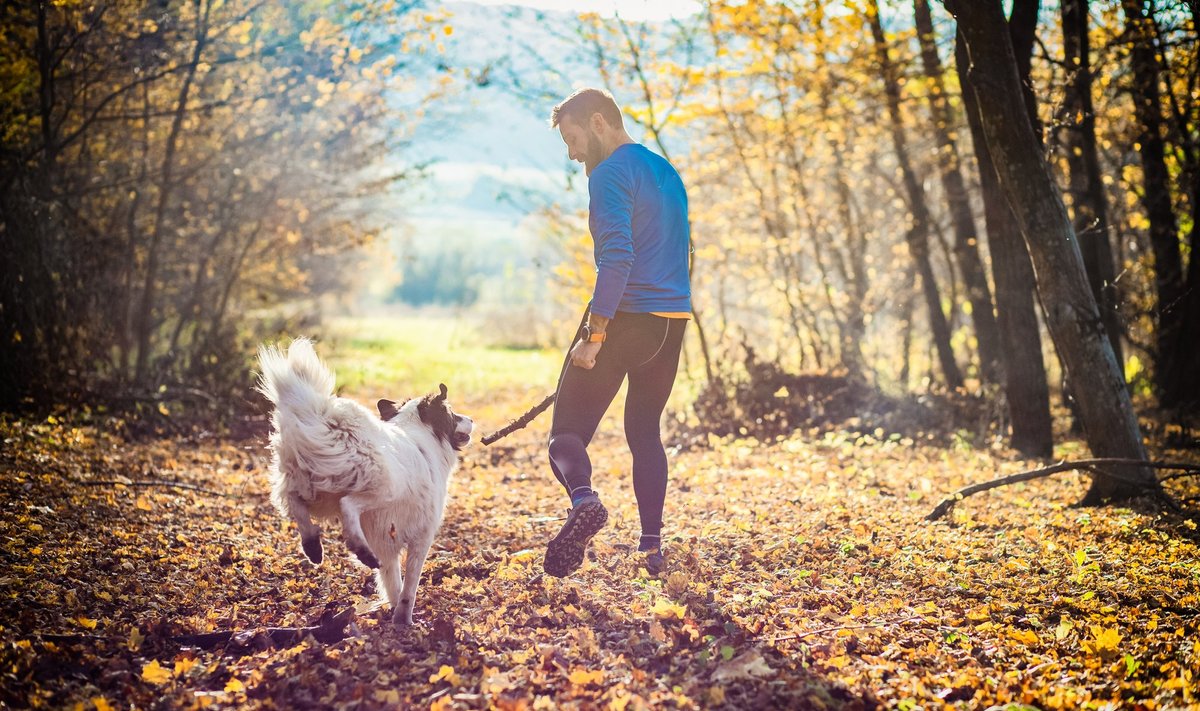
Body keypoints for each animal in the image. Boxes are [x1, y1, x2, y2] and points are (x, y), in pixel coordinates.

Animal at [258, 336, 472, 624]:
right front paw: (404, 620)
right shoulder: (421, 536)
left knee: (295, 504)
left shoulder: (388, 544)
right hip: (383, 485)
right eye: (453, 414)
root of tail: (324, 414)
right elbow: (409, 587)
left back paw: (313, 545)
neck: (418, 433)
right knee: (348, 505)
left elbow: (393, 582)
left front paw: (395, 614)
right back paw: (360, 550)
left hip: (304, 481)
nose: (471, 419)